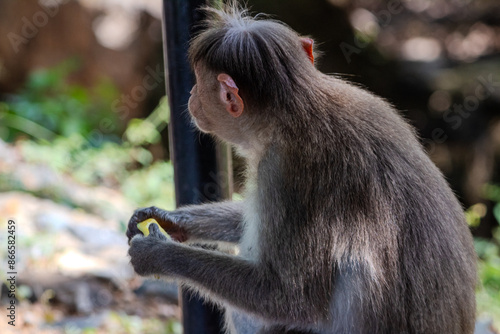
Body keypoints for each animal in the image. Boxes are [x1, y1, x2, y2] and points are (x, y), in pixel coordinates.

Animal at [125, 3, 476, 334]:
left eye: (198, 80)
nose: (191, 94)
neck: (295, 111)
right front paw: (174, 220)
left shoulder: (284, 170)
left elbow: (291, 297)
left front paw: (158, 254)